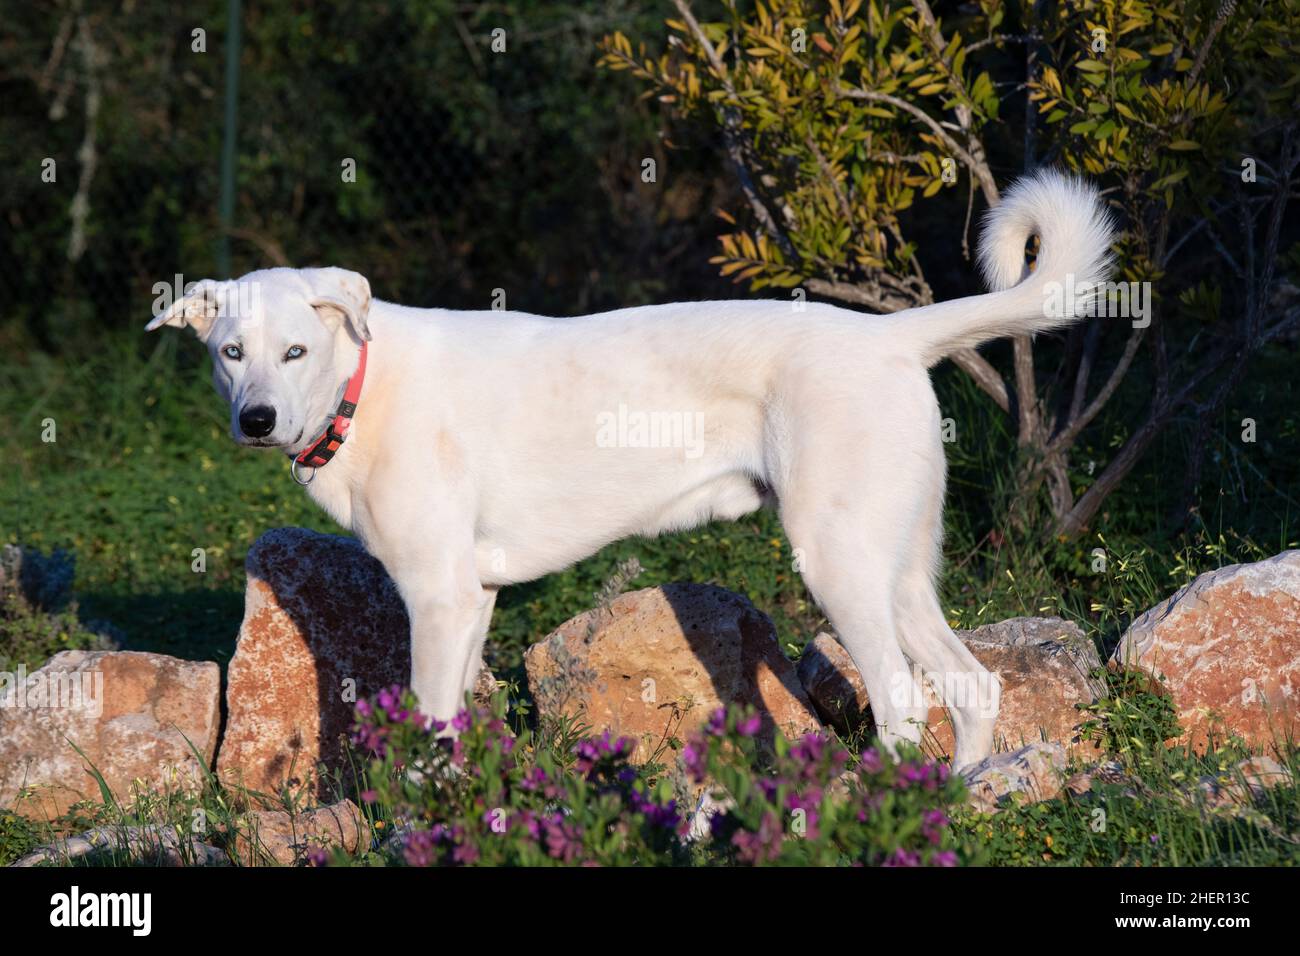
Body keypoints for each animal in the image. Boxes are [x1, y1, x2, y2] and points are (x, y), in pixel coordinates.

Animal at [149, 167, 1107, 775]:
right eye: (231, 353)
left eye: (295, 351)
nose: (256, 420)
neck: (361, 383)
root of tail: (889, 333)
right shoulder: (472, 601)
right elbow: (452, 729)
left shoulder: (437, 599)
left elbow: (424, 731)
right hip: (896, 571)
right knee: (974, 688)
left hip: (838, 567)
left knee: (904, 706)